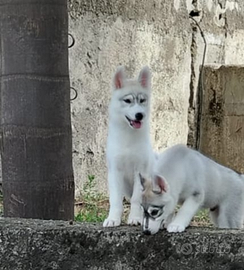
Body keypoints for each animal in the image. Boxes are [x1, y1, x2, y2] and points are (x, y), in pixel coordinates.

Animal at [103, 66, 154, 227]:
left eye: (142, 100)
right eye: (127, 100)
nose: (140, 115)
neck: (128, 137)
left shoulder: (140, 171)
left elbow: (136, 200)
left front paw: (135, 218)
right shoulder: (115, 171)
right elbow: (115, 200)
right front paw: (113, 219)